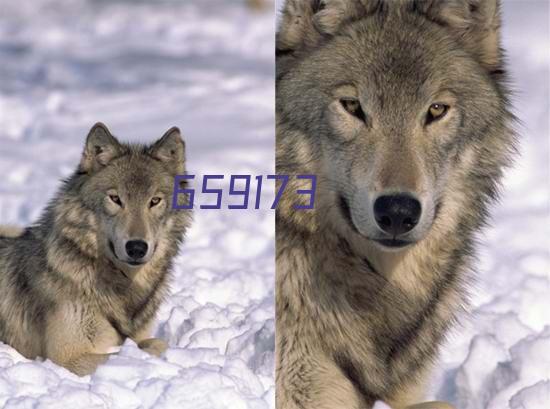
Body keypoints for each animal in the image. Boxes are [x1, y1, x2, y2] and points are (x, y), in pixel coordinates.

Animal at [0, 122, 194, 374]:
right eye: (115, 199)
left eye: (154, 201)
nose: (137, 248)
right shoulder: (67, 358)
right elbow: (152, 347)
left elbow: (152, 342)